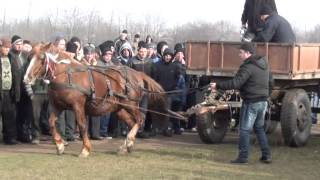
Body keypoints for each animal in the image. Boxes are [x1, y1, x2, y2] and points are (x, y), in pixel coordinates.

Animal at [24, 43, 170, 157]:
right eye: (29, 57)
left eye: (42, 58)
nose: (27, 78)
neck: (66, 76)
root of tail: (137, 73)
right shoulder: (57, 106)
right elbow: (51, 123)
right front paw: (60, 146)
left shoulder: (78, 106)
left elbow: (82, 126)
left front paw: (85, 149)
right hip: (119, 108)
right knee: (132, 122)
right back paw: (126, 145)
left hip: (131, 104)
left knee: (140, 119)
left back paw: (128, 141)